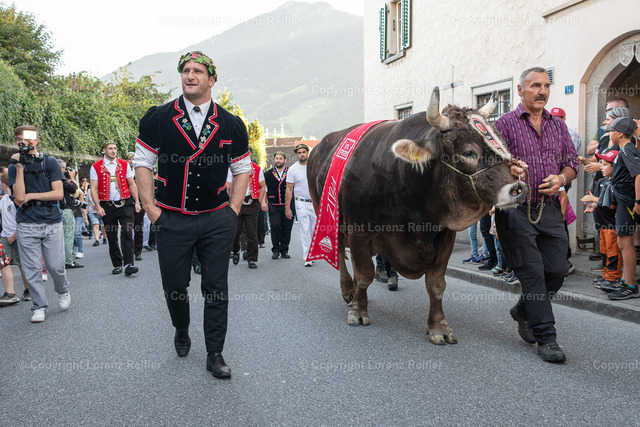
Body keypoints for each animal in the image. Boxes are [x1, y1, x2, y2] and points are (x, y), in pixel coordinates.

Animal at [307, 87, 527, 345]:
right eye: (468, 152)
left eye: (503, 146)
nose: (518, 188)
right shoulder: (359, 232)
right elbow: (364, 275)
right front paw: (359, 311)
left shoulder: (444, 236)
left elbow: (436, 285)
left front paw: (438, 327)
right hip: (327, 215)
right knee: (340, 252)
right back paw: (348, 291)